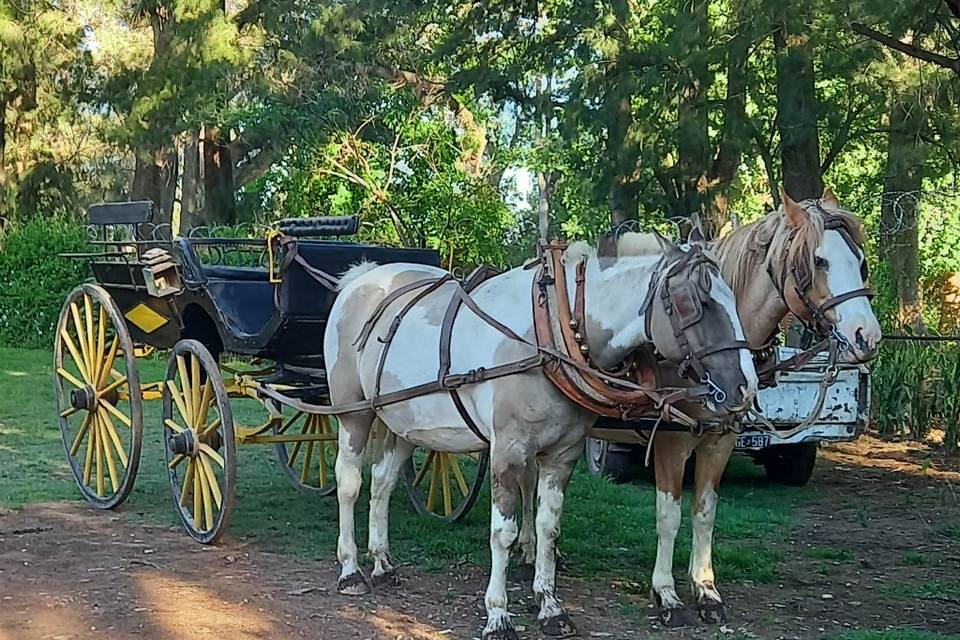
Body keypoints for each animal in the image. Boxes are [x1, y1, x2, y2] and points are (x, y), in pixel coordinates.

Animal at [326, 235, 760, 640]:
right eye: (695, 303)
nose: (746, 388)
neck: (548, 331)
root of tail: (362, 276)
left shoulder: (562, 455)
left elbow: (548, 527)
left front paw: (551, 608)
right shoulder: (507, 449)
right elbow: (503, 533)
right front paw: (498, 615)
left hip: (404, 423)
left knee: (382, 483)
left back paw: (382, 563)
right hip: (354, 414)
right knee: (349, 483)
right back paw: (350, 569)